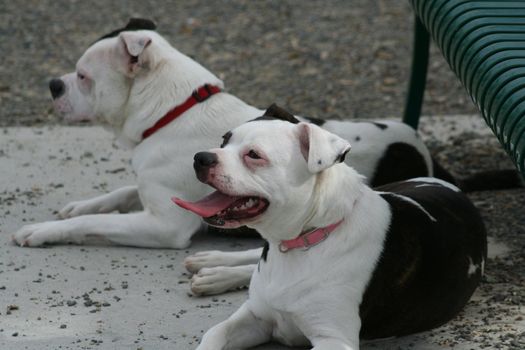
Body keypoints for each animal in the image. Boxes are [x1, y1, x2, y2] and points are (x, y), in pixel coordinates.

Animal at [11, 19, 438, 249]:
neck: (174, 110)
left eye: (83, 77)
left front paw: (43, 231)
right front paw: (84, 204)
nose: (53, 85)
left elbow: (92, 225)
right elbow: (120, 192)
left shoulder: (163, 225)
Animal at [174, 114, 486, 348]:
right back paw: (213, 266)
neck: (306, 239)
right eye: (224, 140)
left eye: (254, 155)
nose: (201, 158)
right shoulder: (255, 317)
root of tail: (449, 184)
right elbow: (214, 333)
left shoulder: (333, 339)